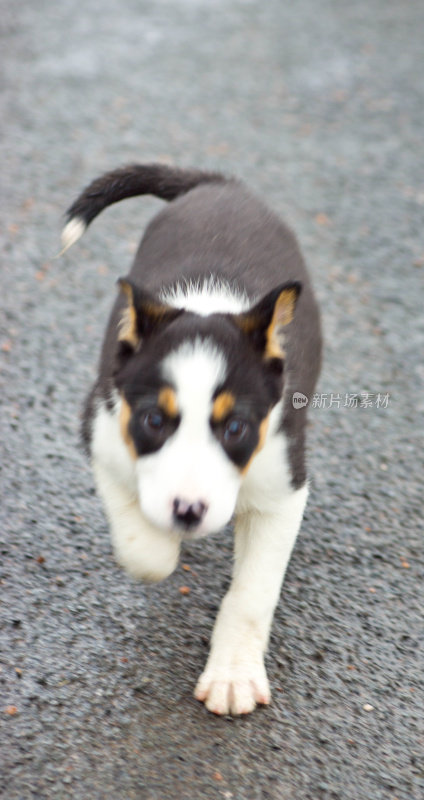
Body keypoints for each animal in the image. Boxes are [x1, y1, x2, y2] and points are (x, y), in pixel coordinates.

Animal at [62, 166, 322, 716]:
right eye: (154, 421)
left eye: (236, 429)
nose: (188, 511)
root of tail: (220, 184)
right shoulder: (102, 432)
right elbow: (143, 549)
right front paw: (161, 543)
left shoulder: (283, 485)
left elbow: (252, 592)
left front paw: (233, 677)